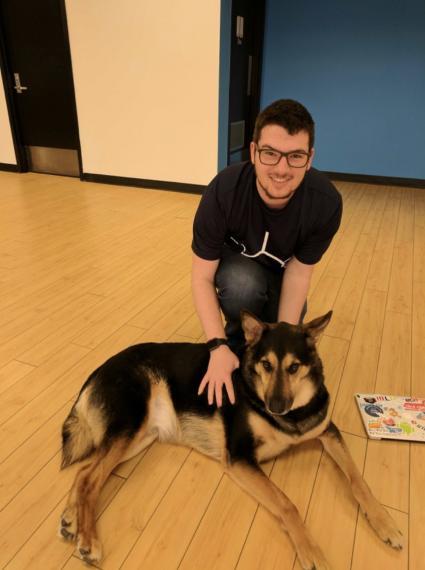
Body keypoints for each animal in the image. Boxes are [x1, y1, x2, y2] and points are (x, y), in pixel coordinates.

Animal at [58, 310, 400, 568]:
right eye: (266, 365)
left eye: (293, 367)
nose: (276, 406)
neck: (290, 417)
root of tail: (100, 369)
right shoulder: (239, 458)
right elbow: (287, 504)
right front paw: (311, 550)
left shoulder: (329, 433)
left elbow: (357, 479)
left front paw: (385, 522)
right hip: (131, 426)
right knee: (90, 478)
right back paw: (89, 540)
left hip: (139, 436)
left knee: (84, 472)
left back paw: (71, 520)